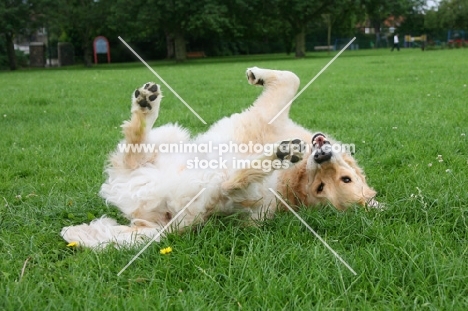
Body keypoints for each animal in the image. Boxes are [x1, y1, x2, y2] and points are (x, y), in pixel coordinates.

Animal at [60, 67, 378, 247]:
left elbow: (290, 80)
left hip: (229, 191)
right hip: (173, 137)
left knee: (229, 182)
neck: (296, 182)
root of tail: (161, 224)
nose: (322, 157)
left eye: (326, 186)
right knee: (135, 147)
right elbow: (293, 78)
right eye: (344, 179)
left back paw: (280, 154)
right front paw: (257, 74)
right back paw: (146, 101)